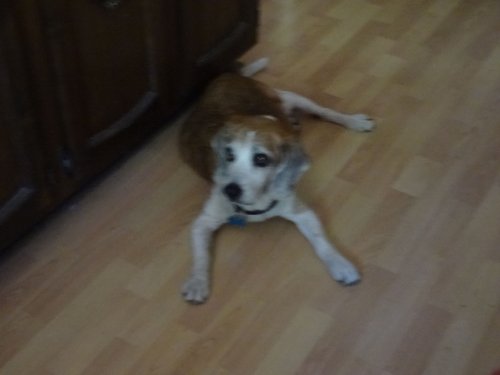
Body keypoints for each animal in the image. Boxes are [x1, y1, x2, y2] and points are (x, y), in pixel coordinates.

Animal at [178, 59, 374, 306]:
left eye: (261, 159)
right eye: (229, 155)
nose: (230, 190)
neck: (255, 205)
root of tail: (229, 75)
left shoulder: (302, 211)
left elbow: (322, 242)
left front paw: (341, 264)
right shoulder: (203, 222)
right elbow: (201, 256)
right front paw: (197, 282)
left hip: (293, 97)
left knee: (324, 111)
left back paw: (354, 121)